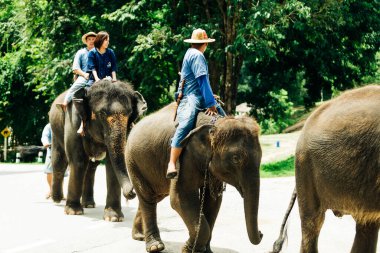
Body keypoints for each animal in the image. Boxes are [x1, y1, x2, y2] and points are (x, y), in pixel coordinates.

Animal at [49, 80, 147, 220]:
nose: (133, 192)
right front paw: (73, 212)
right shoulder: (74, 120)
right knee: (59, 160)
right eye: (102, 113)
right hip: (55, 127)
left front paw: (114, 217)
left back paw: (89, 204)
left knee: (91, 167)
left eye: (129, 114)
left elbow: (111, 164)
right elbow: (78, 160)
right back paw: (57, 199)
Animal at [126, 103, 262, 253]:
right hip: (133, 162)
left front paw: (203, 250)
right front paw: (188, 249)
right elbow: (180, 198)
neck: (215, 124)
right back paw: (155, 246)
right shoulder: (183, 155)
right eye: (236, 159)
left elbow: (213, 201)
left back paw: (139, 236)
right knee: (147, 197)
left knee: (153, 197)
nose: (261, 233)